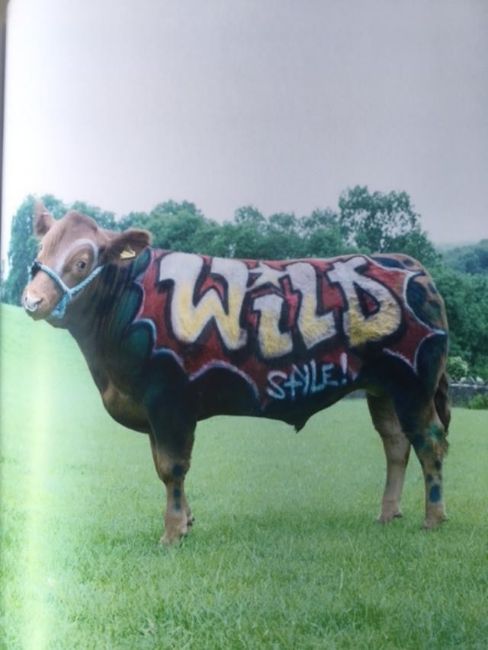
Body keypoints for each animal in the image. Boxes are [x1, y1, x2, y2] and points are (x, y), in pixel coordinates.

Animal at [22, 204, 450, 544]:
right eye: (40, 252)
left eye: (81, 262)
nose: (31, 300)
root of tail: (410, 265)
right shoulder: (151, 407)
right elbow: (163, 467)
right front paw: (187, 522)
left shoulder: (169, 399)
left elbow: (172, 467)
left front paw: (172, 533)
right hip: (383, 389)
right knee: (396, 443)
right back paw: (387, 514)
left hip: (414, 384)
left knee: (430, 442)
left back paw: (433, 520)